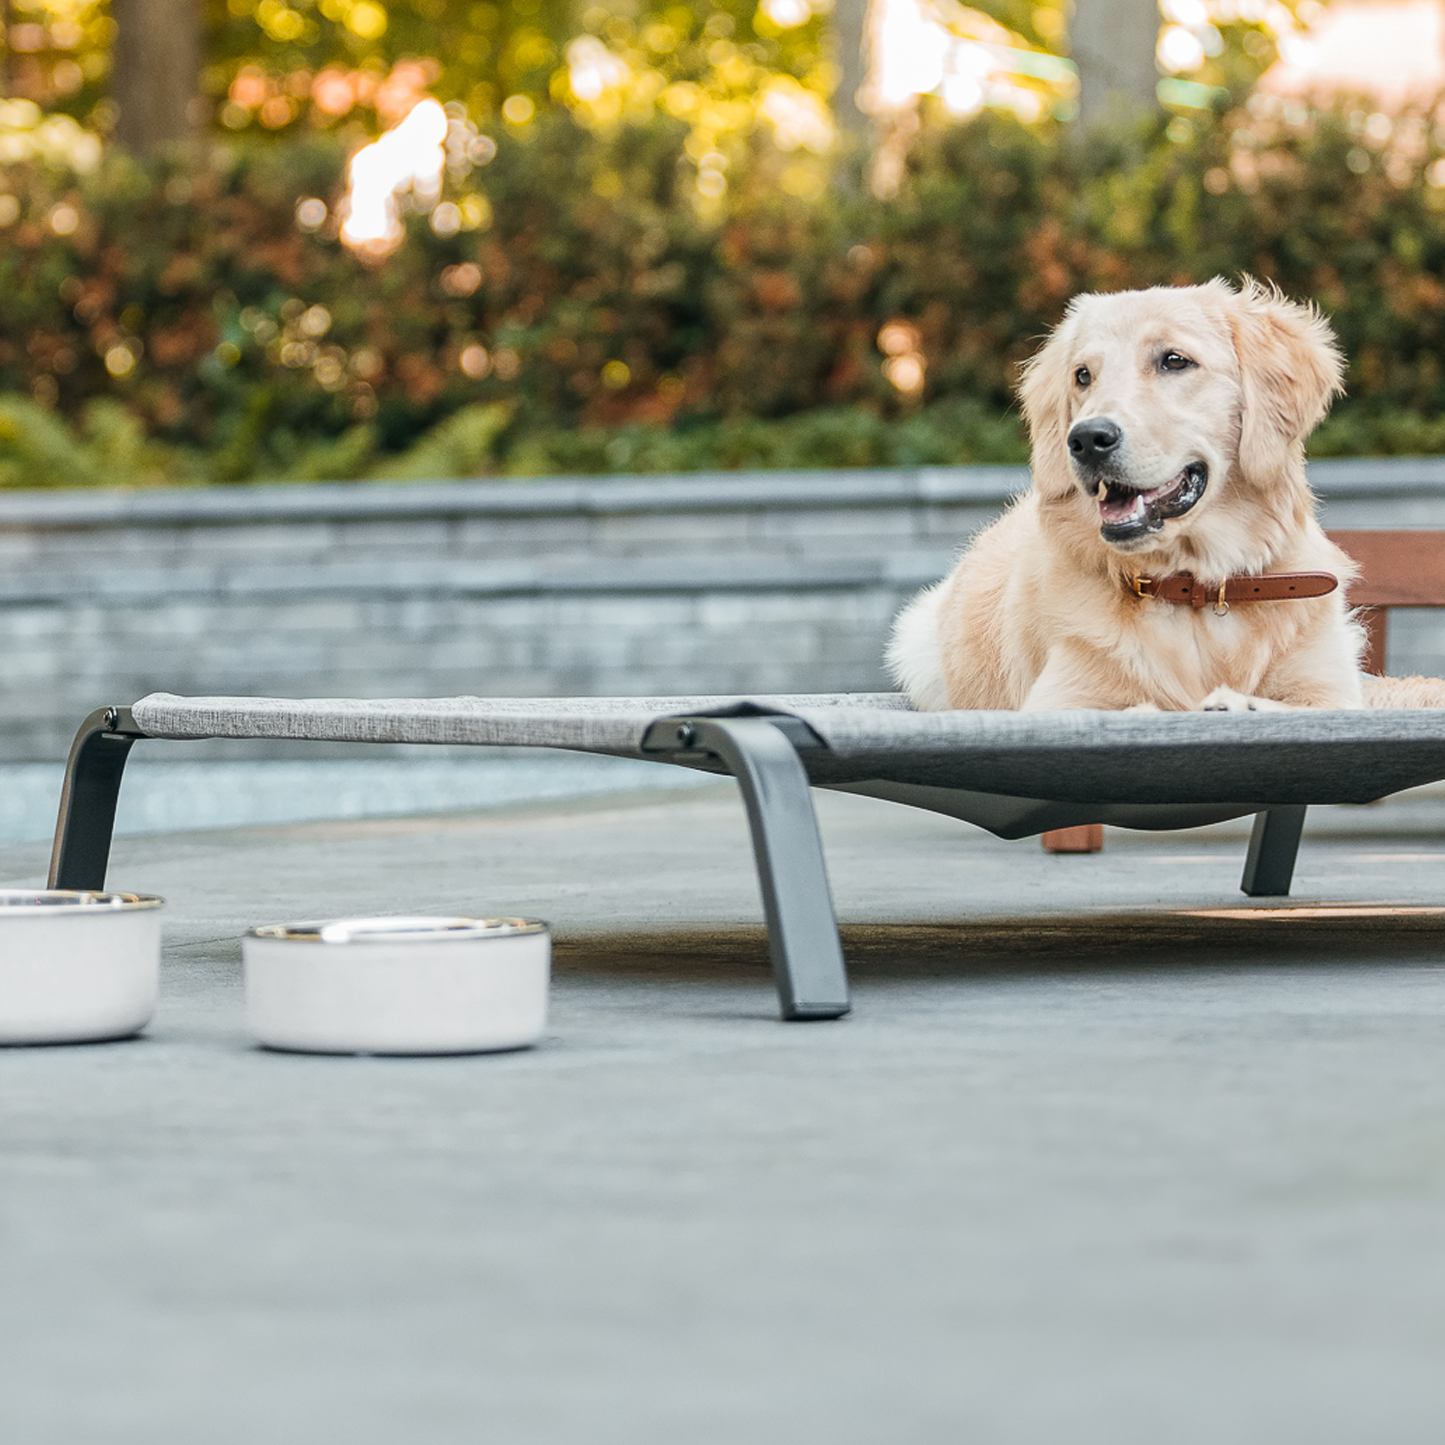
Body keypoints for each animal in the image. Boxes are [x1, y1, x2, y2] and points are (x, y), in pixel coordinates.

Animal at [884, 275, 1439, 710]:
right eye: (1082, 375)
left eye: (1175, 360)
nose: (1086, 439)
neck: (1198, 590)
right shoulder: (1063, 699)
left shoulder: (1327, 691)